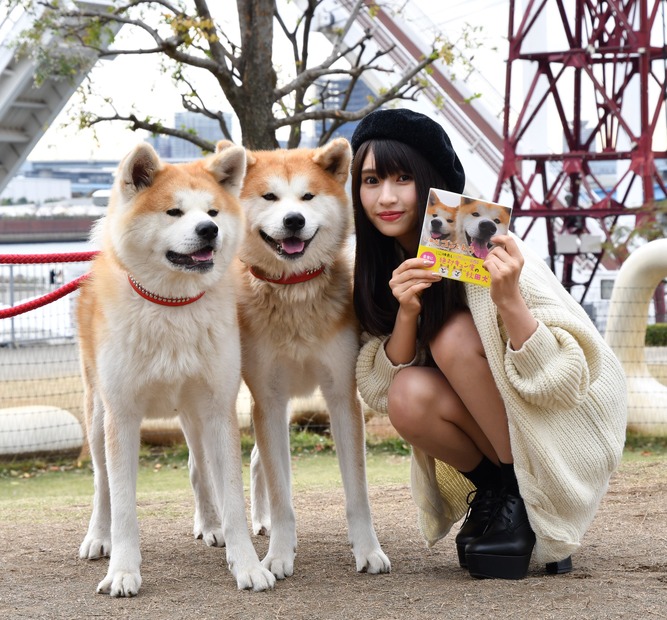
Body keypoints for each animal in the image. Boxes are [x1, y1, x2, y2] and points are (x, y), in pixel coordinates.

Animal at [77, 144, 276, 596]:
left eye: (213, 212)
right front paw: (123, 571)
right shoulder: (123, 417)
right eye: (173, 212)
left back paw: (210, 524)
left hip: (193, 416)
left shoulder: (219, 410)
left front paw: (246, 565)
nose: (208, 230)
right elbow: (122, 504)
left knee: (198, 469)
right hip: (98, 417)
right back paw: (98, 537)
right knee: (101, 485)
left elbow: (232, 498)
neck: (171, 306)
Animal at [232, 138, 392, 580]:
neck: (294, 291)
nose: (293, 220)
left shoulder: (340, 396)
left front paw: (367, 550)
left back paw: (260, 520)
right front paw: (279, 556)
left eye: (308, 197)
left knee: (257, 460)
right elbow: (282, 494)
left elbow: (358, 494)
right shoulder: (267, 399)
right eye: (269, 197)